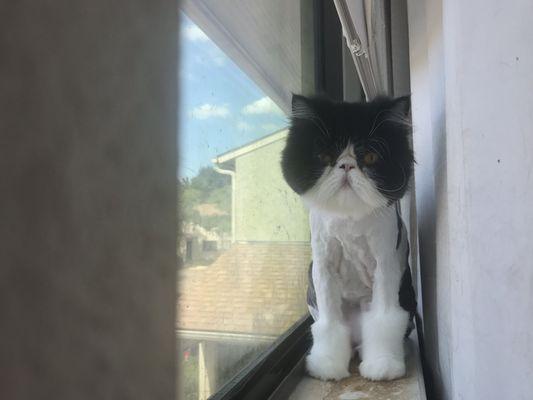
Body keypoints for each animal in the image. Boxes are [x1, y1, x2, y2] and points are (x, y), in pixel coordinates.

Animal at [280, 94, 414, 382]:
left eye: (371, 157)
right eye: (325, 156)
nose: (347, 165)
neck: (348, 216)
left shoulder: (384, 266)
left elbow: (384, 319)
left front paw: (383, 365)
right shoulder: (323, 267)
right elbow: (329, 325)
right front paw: (327, 365)